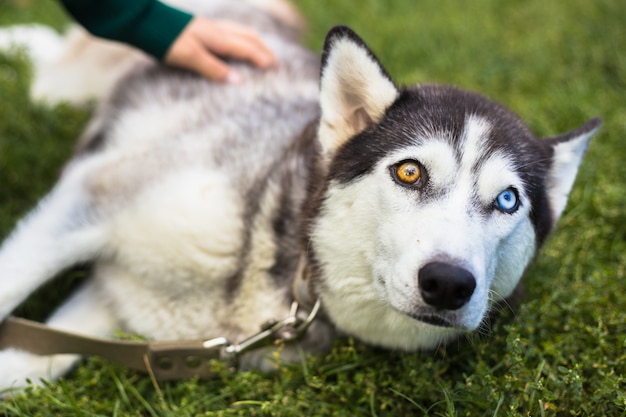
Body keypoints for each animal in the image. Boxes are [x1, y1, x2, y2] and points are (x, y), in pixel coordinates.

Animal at [0, 0, 596, 390]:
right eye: (409, 172)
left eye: (508, 201)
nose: (448, 282)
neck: (283, 268)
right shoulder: (94, 196)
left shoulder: (118, 302)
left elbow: (35, 359)